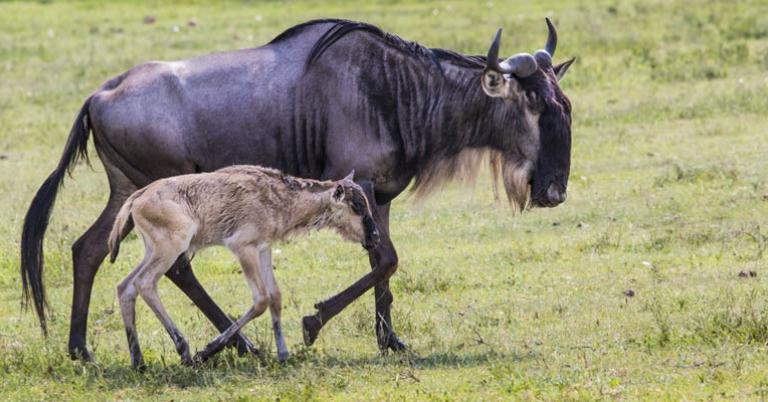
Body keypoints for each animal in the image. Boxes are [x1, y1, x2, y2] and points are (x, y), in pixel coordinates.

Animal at [108, 165, 379, 368]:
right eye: (356, 206)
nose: (375, 237)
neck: (280, 197)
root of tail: (137, 198)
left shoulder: (264, 249)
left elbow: (275, 296)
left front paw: (283, 354)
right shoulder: (243, 248)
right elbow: (261, 300)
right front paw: (207, 350)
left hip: (154, 251)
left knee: (125, 286)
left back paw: (139, 362)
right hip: (171, 248)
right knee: (144, 283)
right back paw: (183, 350)